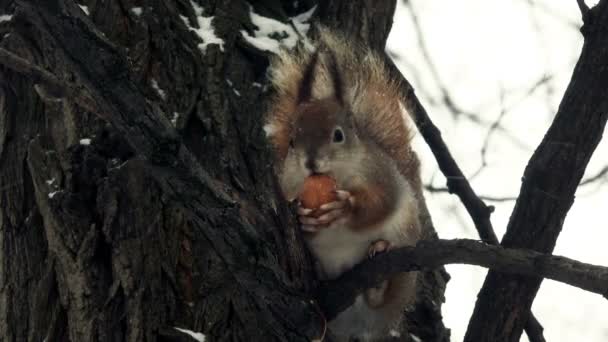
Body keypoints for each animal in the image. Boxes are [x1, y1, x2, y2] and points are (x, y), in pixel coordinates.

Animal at [264, 29, 426, 342]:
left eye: (338, 135)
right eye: (292, 141)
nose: (311, 162)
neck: (335, 175)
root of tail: (358, 326)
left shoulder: (380, 174)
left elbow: (381, 203)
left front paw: (344, 207)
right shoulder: (286, 184)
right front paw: (302, 218)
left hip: (404, 266)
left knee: (383, 298)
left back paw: (379, 266)